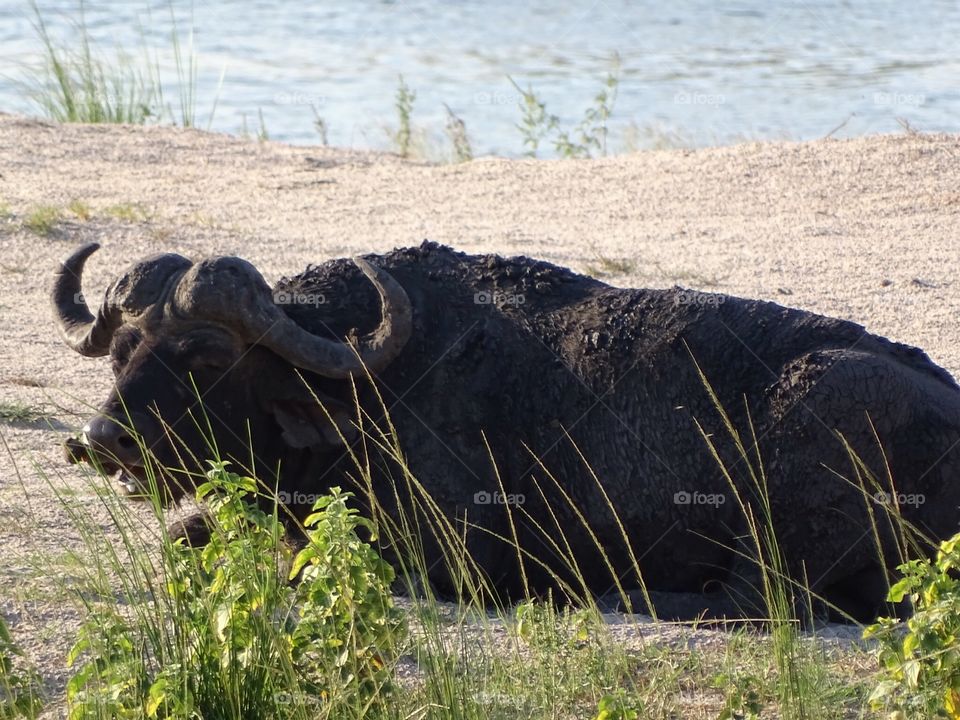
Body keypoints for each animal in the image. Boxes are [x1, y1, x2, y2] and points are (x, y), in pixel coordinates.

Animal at [53, 240, 960, 622]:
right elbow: (189, 535)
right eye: (124, 350)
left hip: (803, 451)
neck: (372, 393)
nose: (104, 439)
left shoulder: (448, 555)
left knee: (761, 599)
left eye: (204, 355)